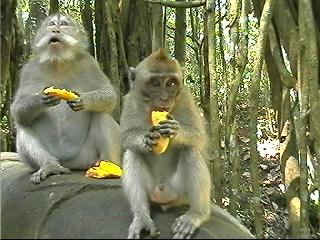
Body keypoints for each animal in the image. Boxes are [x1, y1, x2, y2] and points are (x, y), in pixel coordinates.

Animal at [120, 48, 212, 238]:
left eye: (170, 84)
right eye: (155, 84)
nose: (164, 99)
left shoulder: (185, 98)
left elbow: (199, 137)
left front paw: (174, 132)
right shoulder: (130, 101)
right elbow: (125, 136)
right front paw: (144, 139)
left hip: (179, 192)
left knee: (191, 151)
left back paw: (196, 214)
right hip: (151, 190)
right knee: (133, 152)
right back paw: (142, 216)